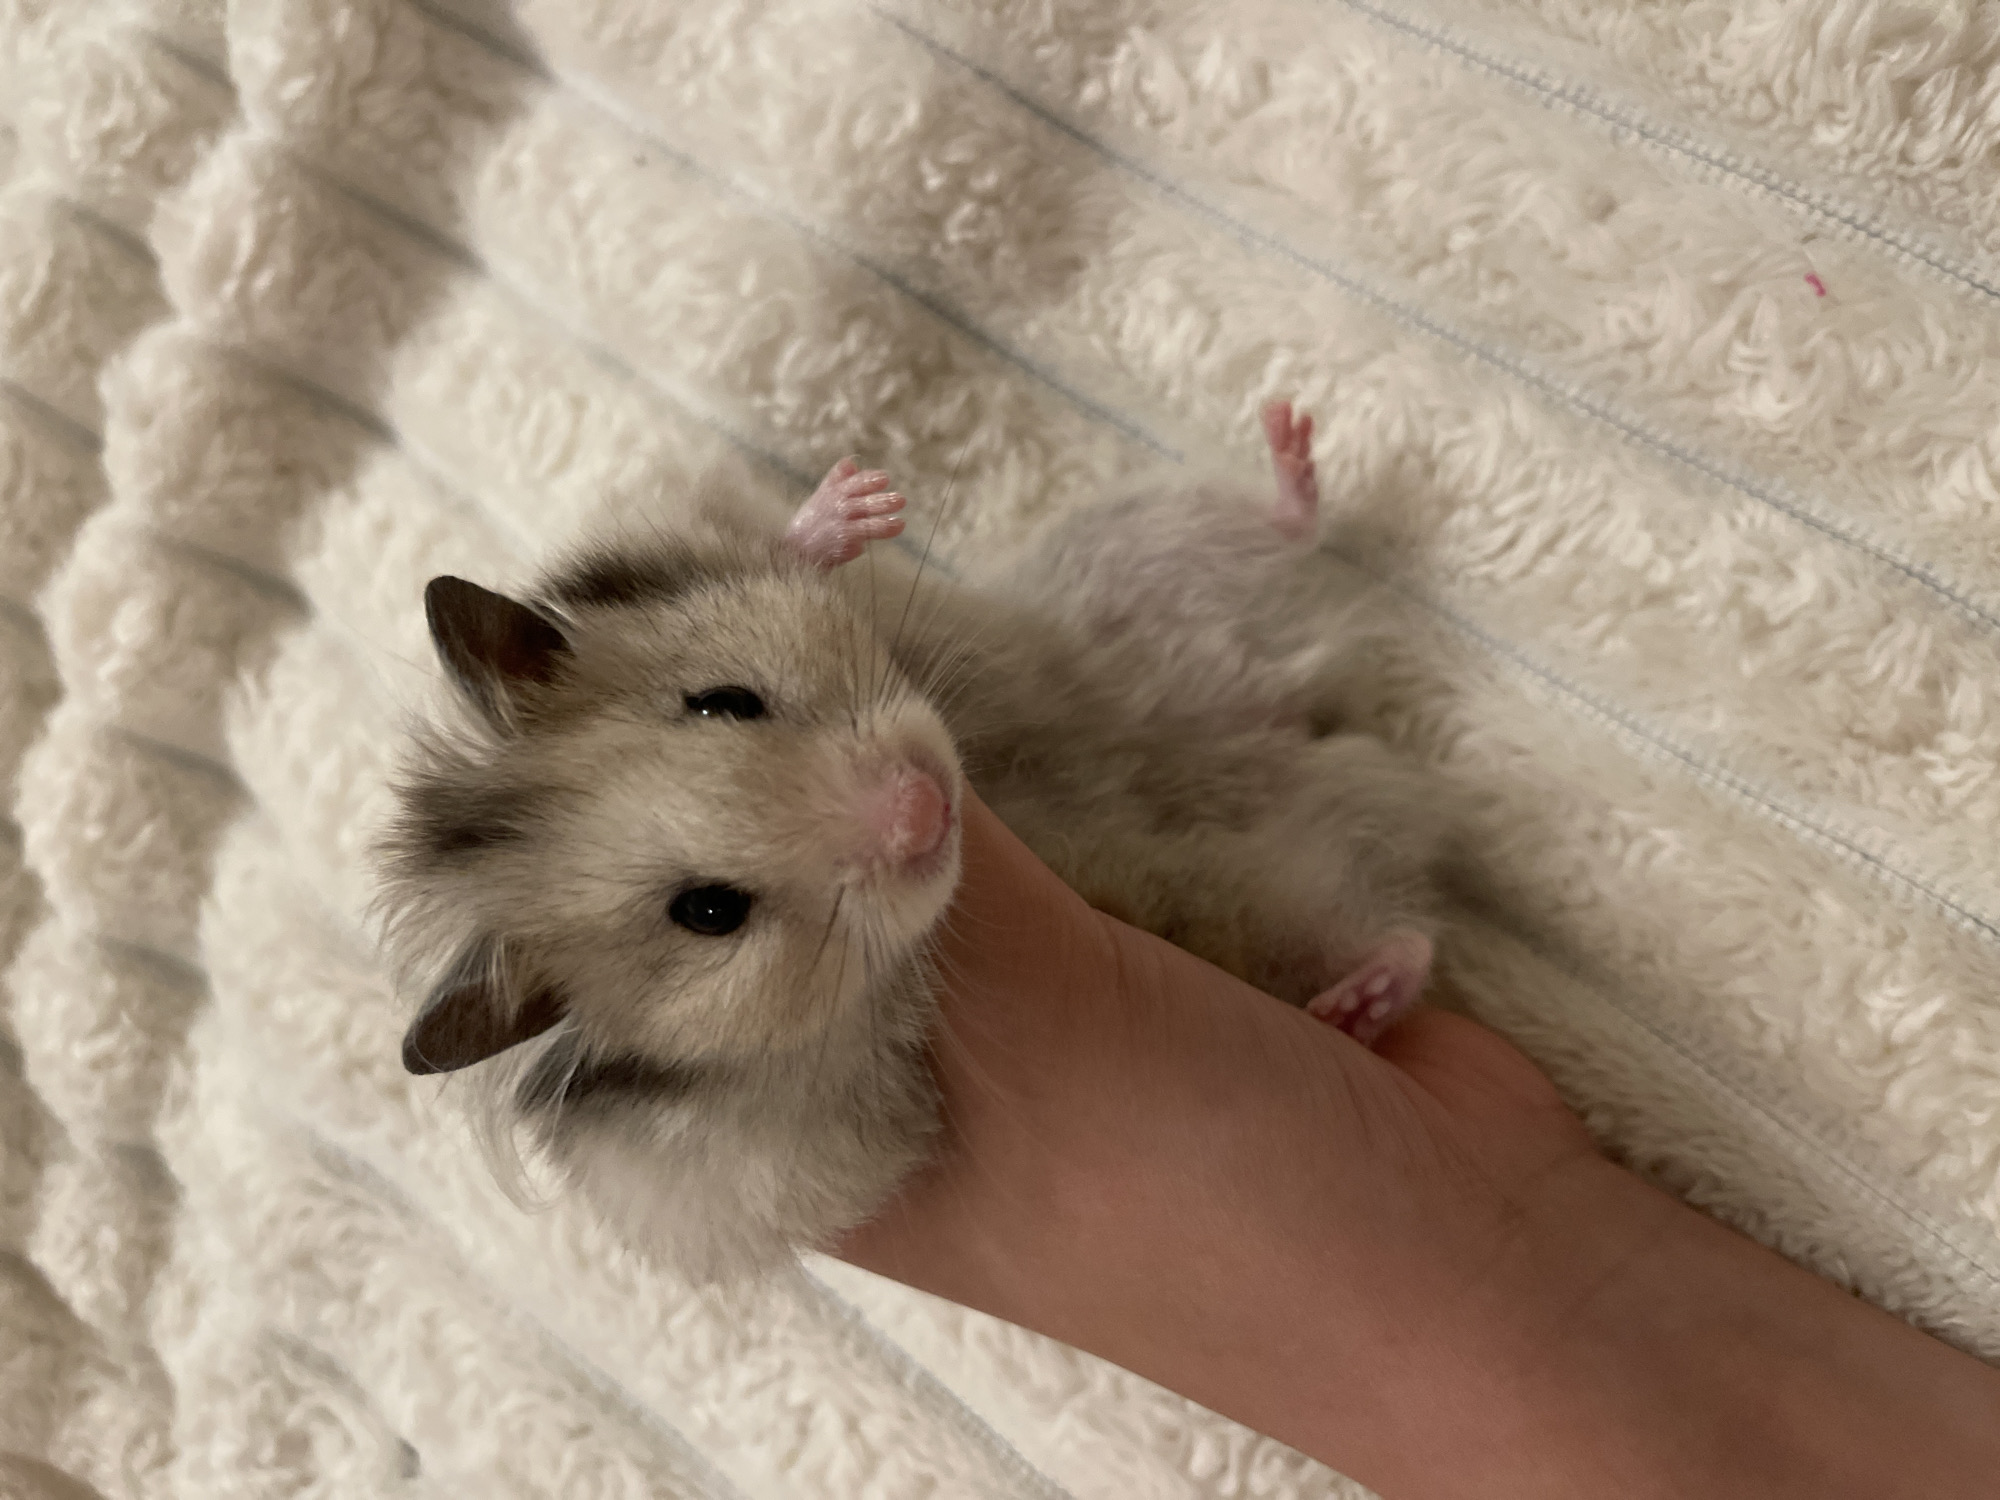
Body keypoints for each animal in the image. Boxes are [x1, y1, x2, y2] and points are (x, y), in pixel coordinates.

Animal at [376, 401, 1446, 1282]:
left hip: (1143, 555)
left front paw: (855, 504)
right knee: (1390, 933)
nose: (927, 805)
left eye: (724, 701)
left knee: (1273, 533)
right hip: (1279, 887)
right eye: (710, 911)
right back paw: (1357, 999)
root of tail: (1284, 714)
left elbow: (775, 553)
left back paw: (1291, 436)